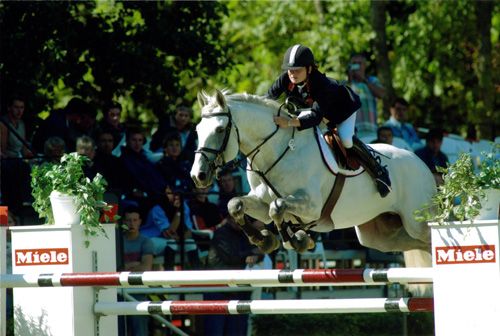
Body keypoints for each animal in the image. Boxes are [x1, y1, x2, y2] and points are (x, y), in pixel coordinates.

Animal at [192, 88, 438, 280]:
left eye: (219, 130)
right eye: (197, 130)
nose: (198, 176)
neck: (276, 151)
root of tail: (420, 162)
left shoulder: (311, 207)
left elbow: (277, 207)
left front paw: (297, 241)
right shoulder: (260, 204)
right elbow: (236, 205)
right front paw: (265, 240)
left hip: (417, 221)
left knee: (429, 237)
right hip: (380, 235)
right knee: (415, 244)